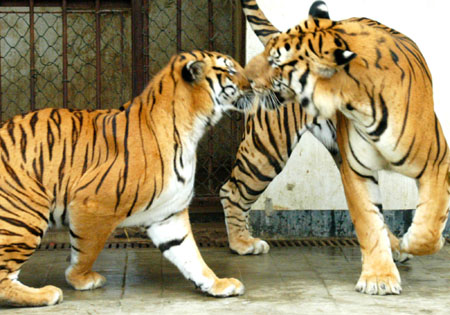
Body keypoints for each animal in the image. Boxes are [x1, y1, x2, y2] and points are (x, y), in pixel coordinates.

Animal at [0, 50, 260, 308]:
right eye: (230, 70)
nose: (253, 85)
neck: (192, 128)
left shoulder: (168, 214)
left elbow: (190, 256)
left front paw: (218, 284)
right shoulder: (91, 206)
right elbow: (86, 251)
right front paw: (81, 279)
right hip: (24, 215)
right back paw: (46, 294)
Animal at [244, 0, 448, 296]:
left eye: (276, 62)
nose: (244, 77)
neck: (357, 100)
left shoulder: (436, 162)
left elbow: (430, 224)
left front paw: (416, 242)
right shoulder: (356, 170)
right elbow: (369, 222)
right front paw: (379, 278)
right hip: (266, 151)